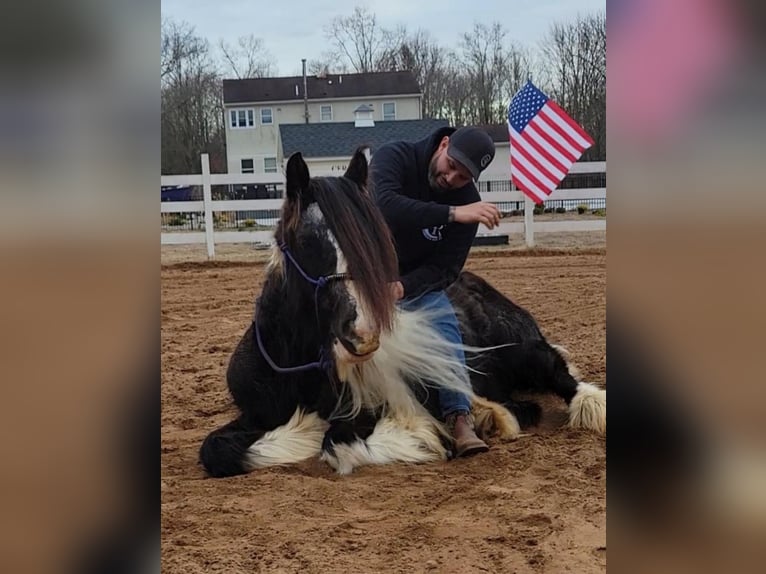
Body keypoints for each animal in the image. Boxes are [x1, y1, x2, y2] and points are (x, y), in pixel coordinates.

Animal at [201, 151, 608, 480]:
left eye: (374, 241)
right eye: (306, 241)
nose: (362, 334)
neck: (295, 364)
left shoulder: (374, 411)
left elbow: (338, 443)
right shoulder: (255, 413)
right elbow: (214, 450)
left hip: (526, 352)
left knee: (566, 380)